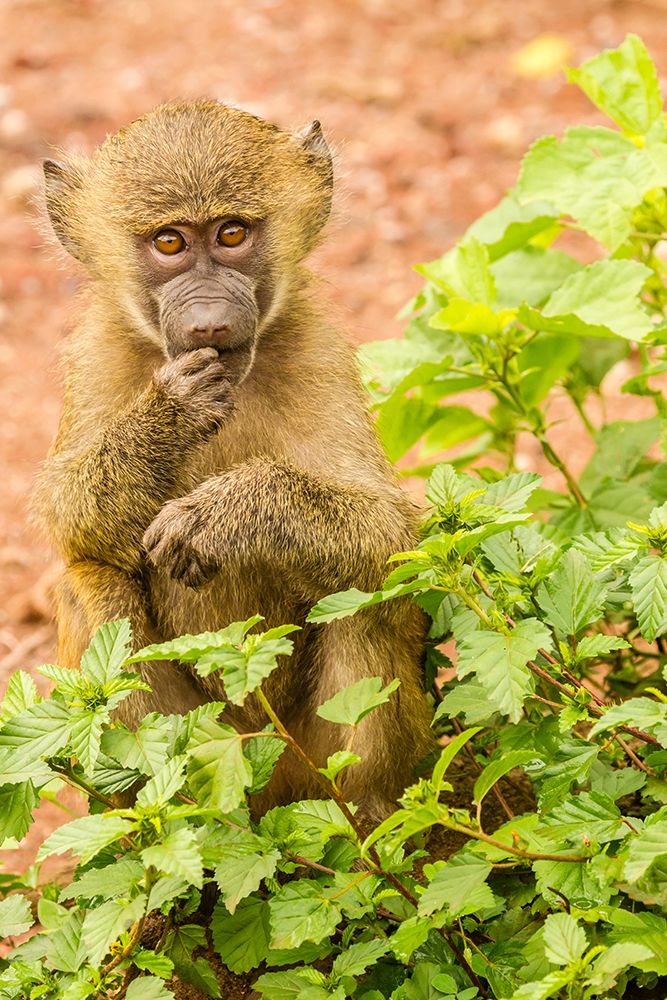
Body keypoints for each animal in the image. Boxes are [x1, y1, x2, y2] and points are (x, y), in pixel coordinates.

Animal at [34, 100, 434, 819]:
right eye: (169, 243)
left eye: (231, 234)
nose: (210, 325)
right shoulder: (97, 352)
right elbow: (70, 516)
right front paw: (171, 414)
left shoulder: (317, 347)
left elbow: (393, 539)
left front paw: (229, 512)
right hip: (205, 741)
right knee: (93, 584)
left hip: (311, 754)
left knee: (363, 596)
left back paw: (375, 823)